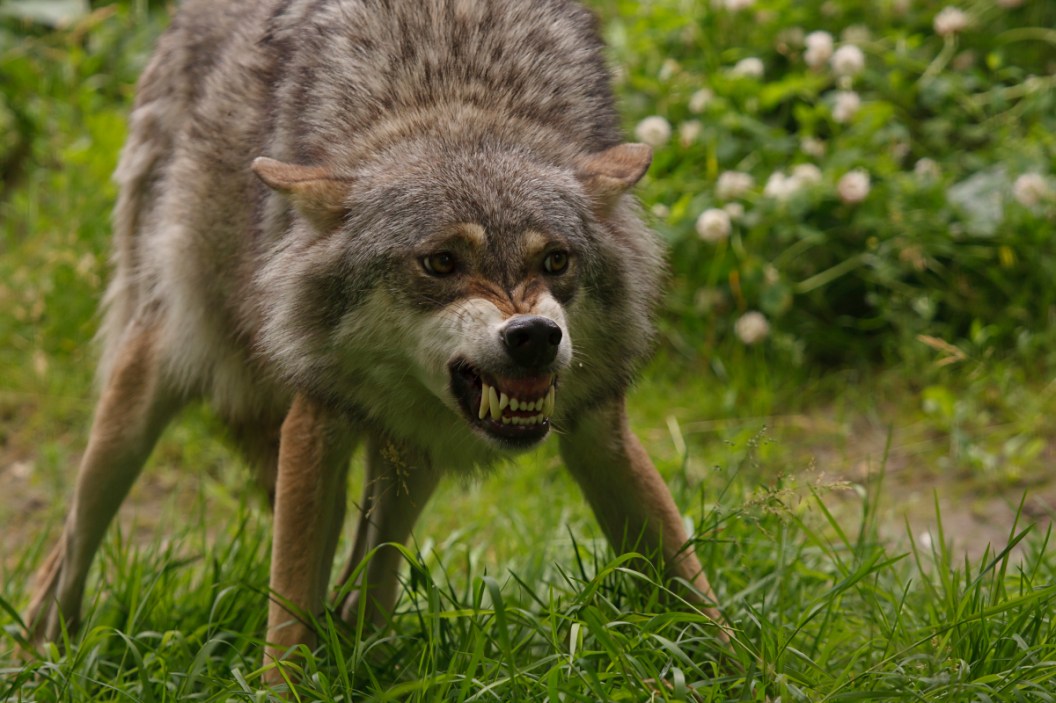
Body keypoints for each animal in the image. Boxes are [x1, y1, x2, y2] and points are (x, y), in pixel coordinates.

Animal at [25, 0, 724, 680]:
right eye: (440, 263)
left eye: (555, 261)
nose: (533, 336)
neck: (456, 94)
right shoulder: (315, 419)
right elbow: (287, 620)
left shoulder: (598, 429)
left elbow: (688, 581)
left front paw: (735, 662)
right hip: (148, 386)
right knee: (66, 547)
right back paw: (46, 651)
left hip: (411, 456)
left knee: (372, 569)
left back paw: (363, 641)